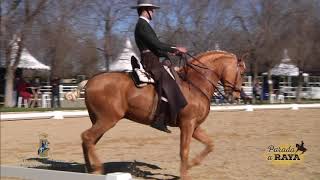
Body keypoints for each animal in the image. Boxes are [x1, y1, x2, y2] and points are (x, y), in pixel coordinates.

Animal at [65, 50, 245, 179]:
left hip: (99, 120)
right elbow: (184, 150)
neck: (195, 84)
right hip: (107, 120)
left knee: (88, 141)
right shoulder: (187, 124)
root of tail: (89, 81)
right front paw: (185, 173)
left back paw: (89, 170)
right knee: (88, 137)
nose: (236, 96)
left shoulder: (194, 126)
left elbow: (210, 144)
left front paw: (192, 164)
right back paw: (97, 169)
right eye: (242, 72)